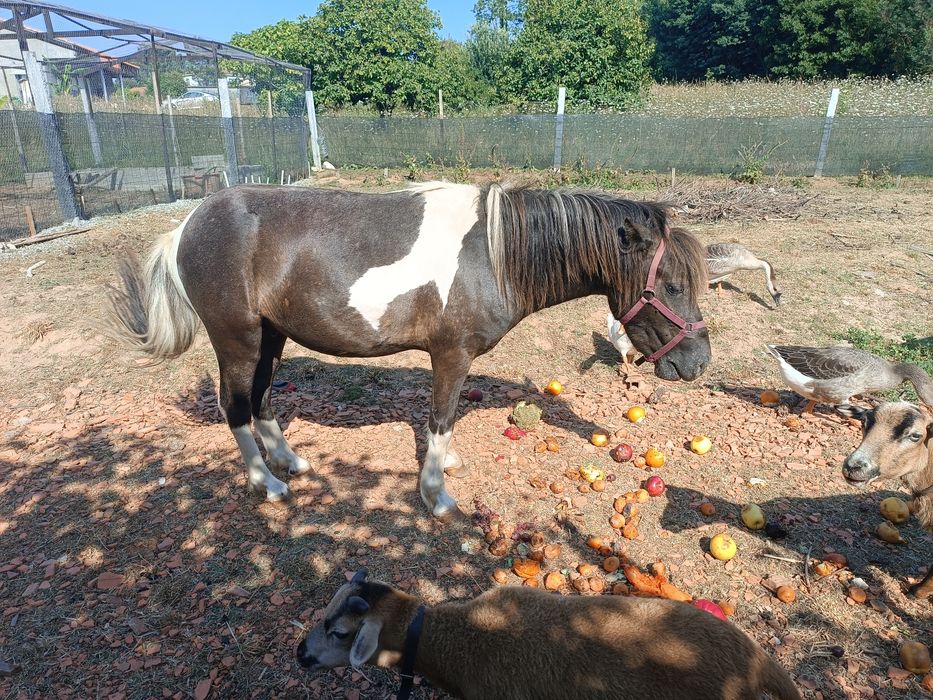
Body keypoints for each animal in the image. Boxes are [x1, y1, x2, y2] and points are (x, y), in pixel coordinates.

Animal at [107, 182, 711, 520]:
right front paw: (435, 493)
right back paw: (267, 482)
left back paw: (290, 461)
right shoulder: (450, 355)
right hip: (239, 340)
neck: (494, 254)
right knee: (234, 406)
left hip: (271, 337)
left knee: (263, 400)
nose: (698, 363)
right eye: (671, 286)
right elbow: (441, 417)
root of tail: (186, 226)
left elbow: (446, 420)